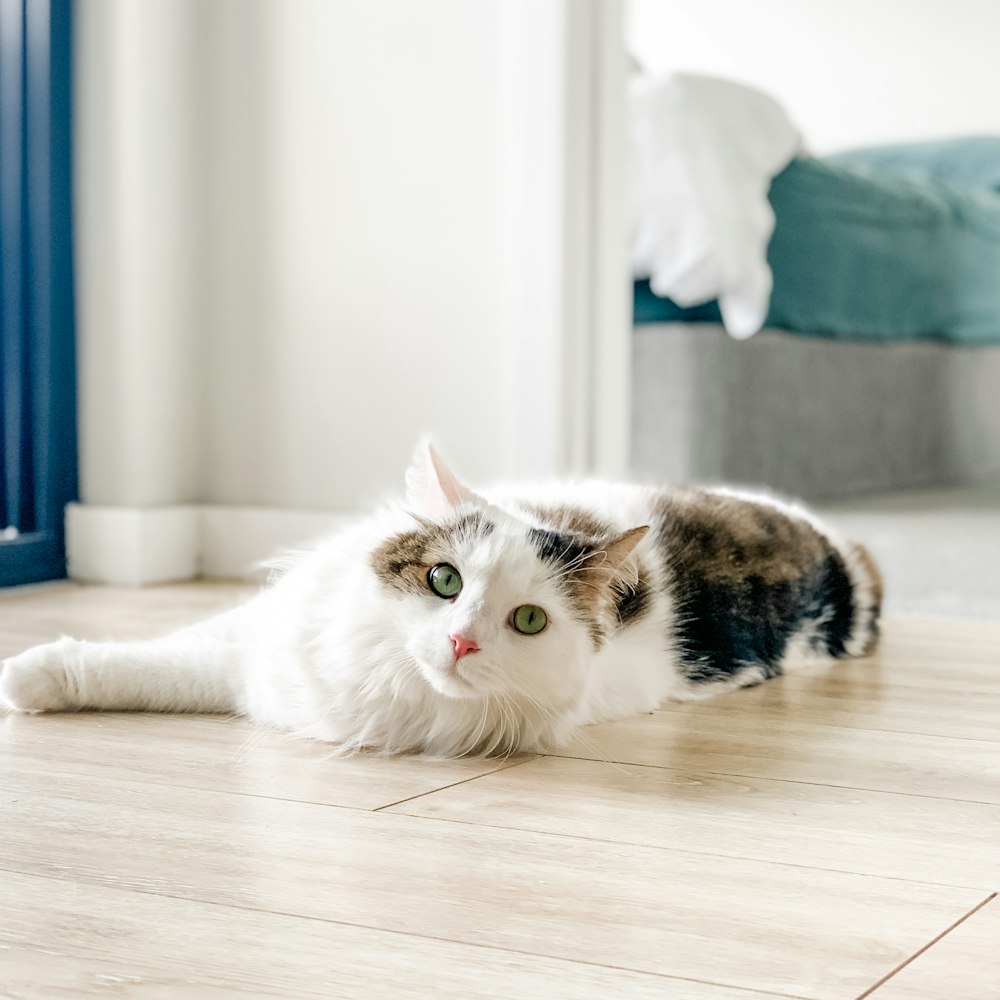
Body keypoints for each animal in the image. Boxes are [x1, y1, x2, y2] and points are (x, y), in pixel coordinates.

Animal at [0, 446, 880, 756]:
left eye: (529, 621)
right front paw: (34, 673)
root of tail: (840, 553)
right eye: (444, 581)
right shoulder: (268, 643)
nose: (461, 643)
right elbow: (151, 659)